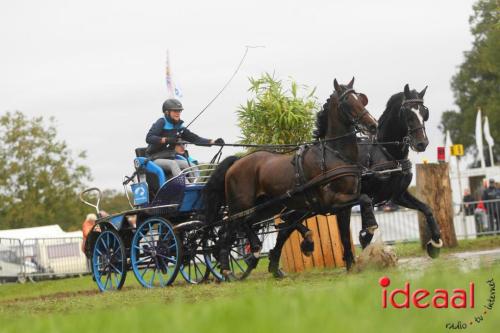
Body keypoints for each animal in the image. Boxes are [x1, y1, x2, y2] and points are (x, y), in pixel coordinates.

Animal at [201, 77, 376, 278]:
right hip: (240, 206)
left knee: (248, 224)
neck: (335, 155)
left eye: (361, 99)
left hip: (268, 206)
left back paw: (260, 257)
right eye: (347, 101)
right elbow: (365, 199)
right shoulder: (332, 200)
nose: (373, 125)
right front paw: (368, 229)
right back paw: (229, 269)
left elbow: (346, 234)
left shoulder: (344, 205)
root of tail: (237, 162)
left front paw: (351, 264)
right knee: (228, 232)